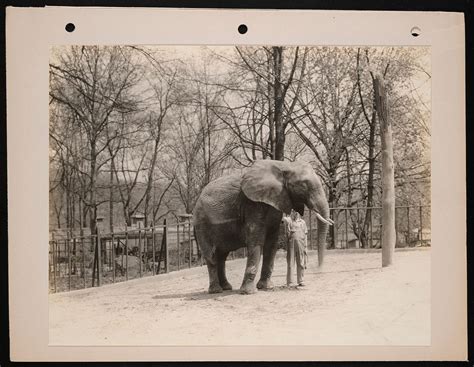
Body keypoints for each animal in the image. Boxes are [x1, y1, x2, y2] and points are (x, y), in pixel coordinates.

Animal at [191, 160, 332, 294]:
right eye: (304, 185)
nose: (318, 270)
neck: (284, 165)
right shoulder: (253, 205)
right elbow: (256, 242)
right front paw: (249, 292)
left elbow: (272, 244)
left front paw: (266, 287)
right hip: (202, 224)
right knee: (211, 255)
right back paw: (216, 290)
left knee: (222, 256)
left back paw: (226, 287)